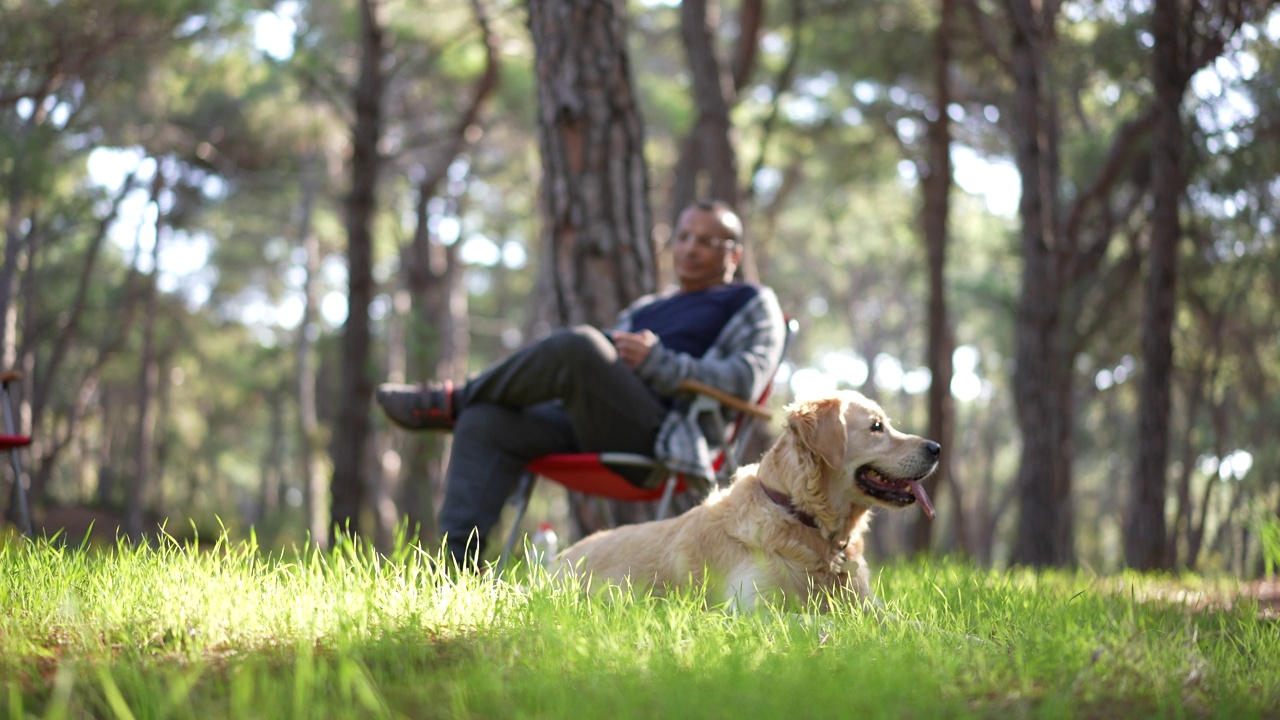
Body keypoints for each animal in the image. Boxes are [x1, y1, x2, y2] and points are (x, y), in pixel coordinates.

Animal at [552, 389, 942, 607]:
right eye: (876, 427)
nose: (936, 448)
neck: (802, 518)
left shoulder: (870, 606)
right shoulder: (752, 609)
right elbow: (821, 623)